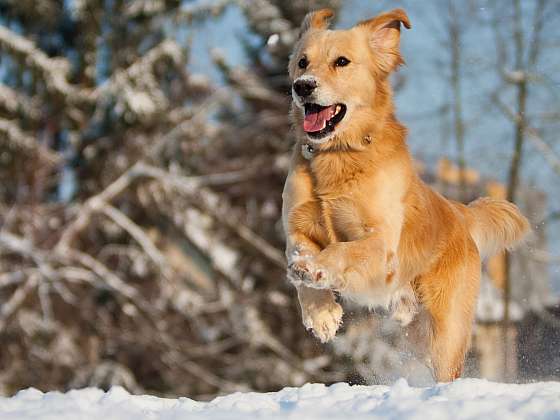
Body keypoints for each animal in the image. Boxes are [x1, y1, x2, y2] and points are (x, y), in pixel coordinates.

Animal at [282, 9, 532, 384]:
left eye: (342, 62)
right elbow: (300, 257)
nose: (303, 86)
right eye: (302, 62)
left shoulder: (381, 244)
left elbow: (343, 249)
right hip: (418, 334)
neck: (339, 157)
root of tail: (458, 213)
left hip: (446, 331)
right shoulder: (296, 228)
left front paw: (316, 269)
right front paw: (321, 313)